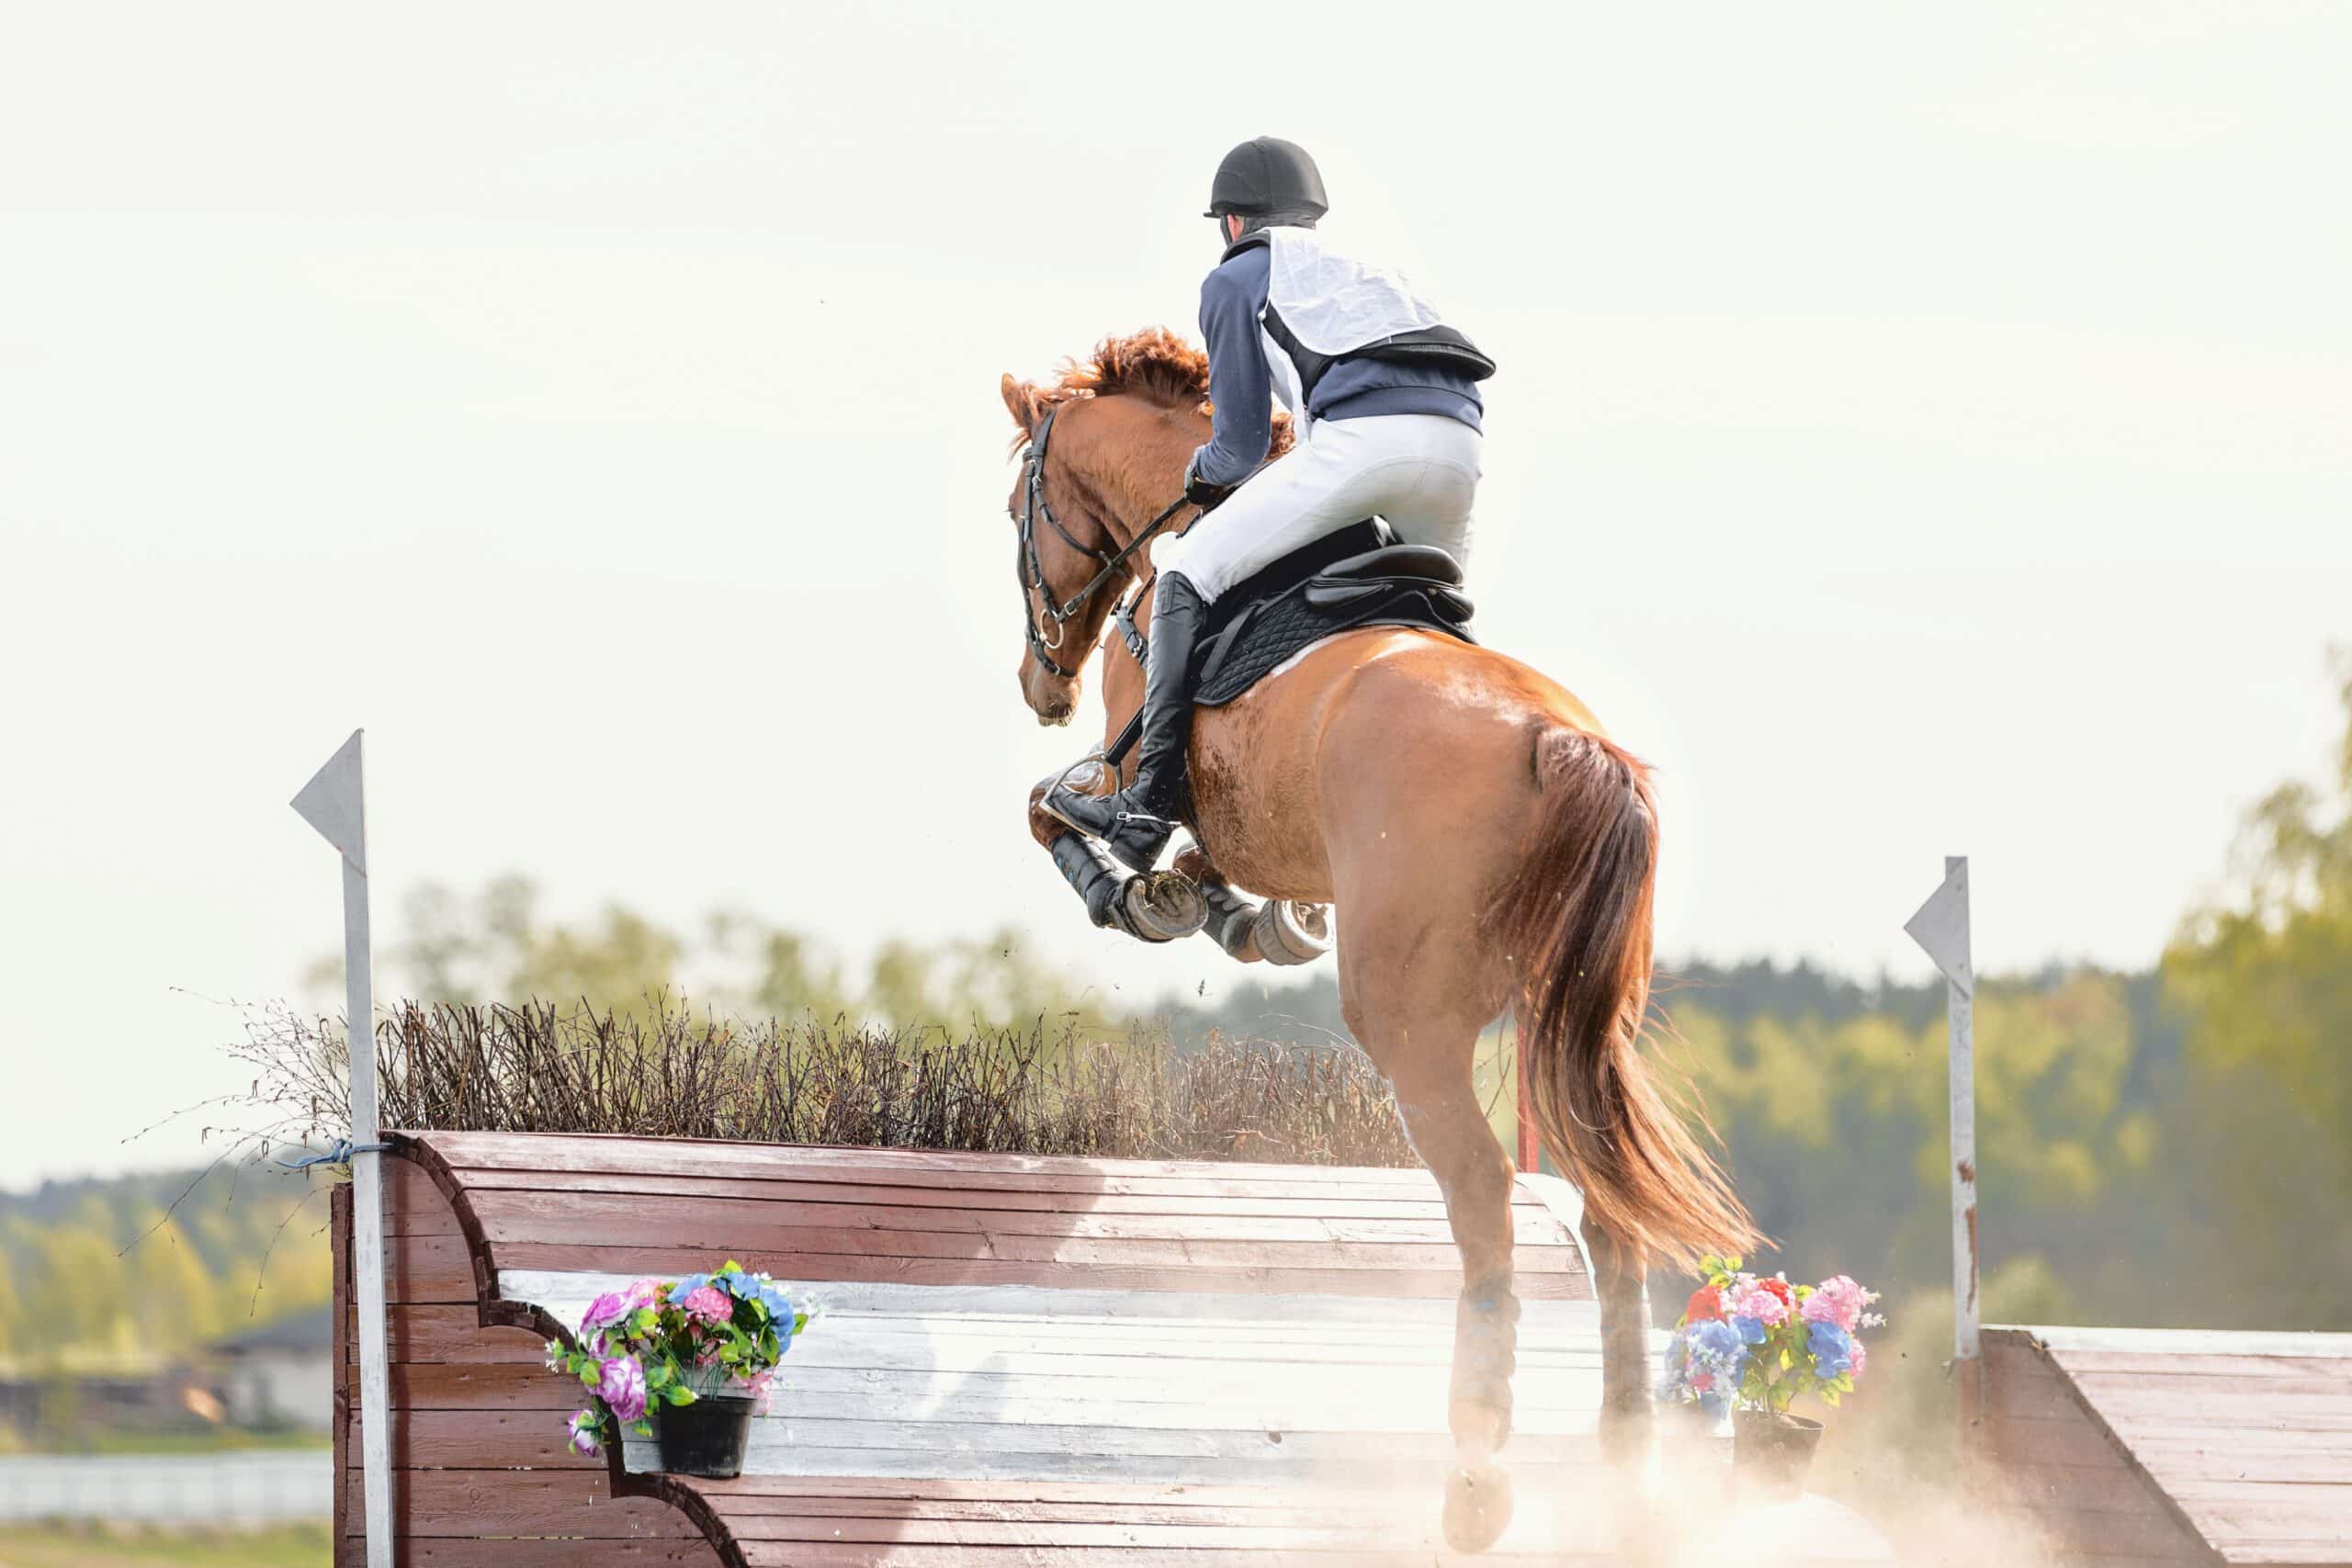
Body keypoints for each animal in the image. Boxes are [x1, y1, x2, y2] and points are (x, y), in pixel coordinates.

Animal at [988, 331, 1749, 1561]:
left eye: (1019, 503)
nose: (1038, 683)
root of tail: (1559, 741)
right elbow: (1210, 872)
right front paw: (1257, 918)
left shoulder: (1129, 756)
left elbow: (1067, 813)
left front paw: (1147, 894)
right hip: (1576, 1018)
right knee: (1606, 1213)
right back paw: (1624, 1480)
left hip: (1410, 1019)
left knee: (1485, 1199)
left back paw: (1477, 1476)